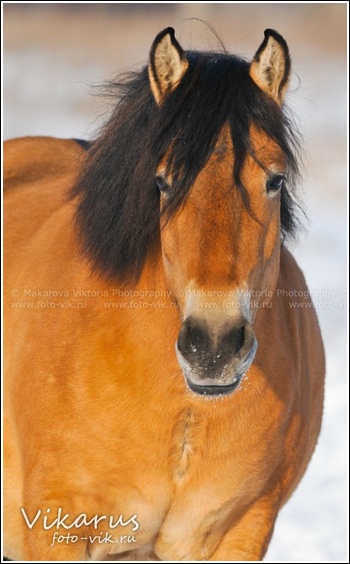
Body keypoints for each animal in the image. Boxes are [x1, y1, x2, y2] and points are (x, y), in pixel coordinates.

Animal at [3, 28, 326, 560]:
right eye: (162, 181)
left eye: (274, 180)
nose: (213, 347)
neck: (184, 412)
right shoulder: (55, 526)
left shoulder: (242, 532)